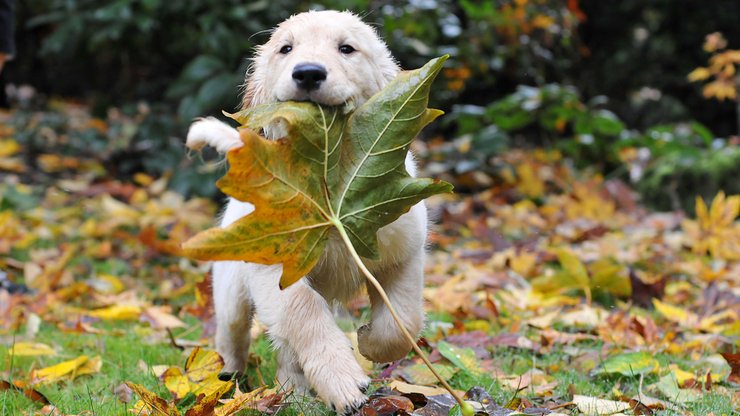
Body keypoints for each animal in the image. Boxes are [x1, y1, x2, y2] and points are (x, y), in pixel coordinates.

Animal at [185, 11, 428, 414]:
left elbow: (402, 320)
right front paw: (342, 381)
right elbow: (305, 313)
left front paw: (369, 342)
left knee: (286, 351)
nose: (309, 73)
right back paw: (231, 381)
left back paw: (293, 393)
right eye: (286, 49)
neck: (328, 176)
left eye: (347, 48)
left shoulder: (403, 252)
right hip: (231, 289)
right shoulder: (275, 270)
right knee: (234, 336)